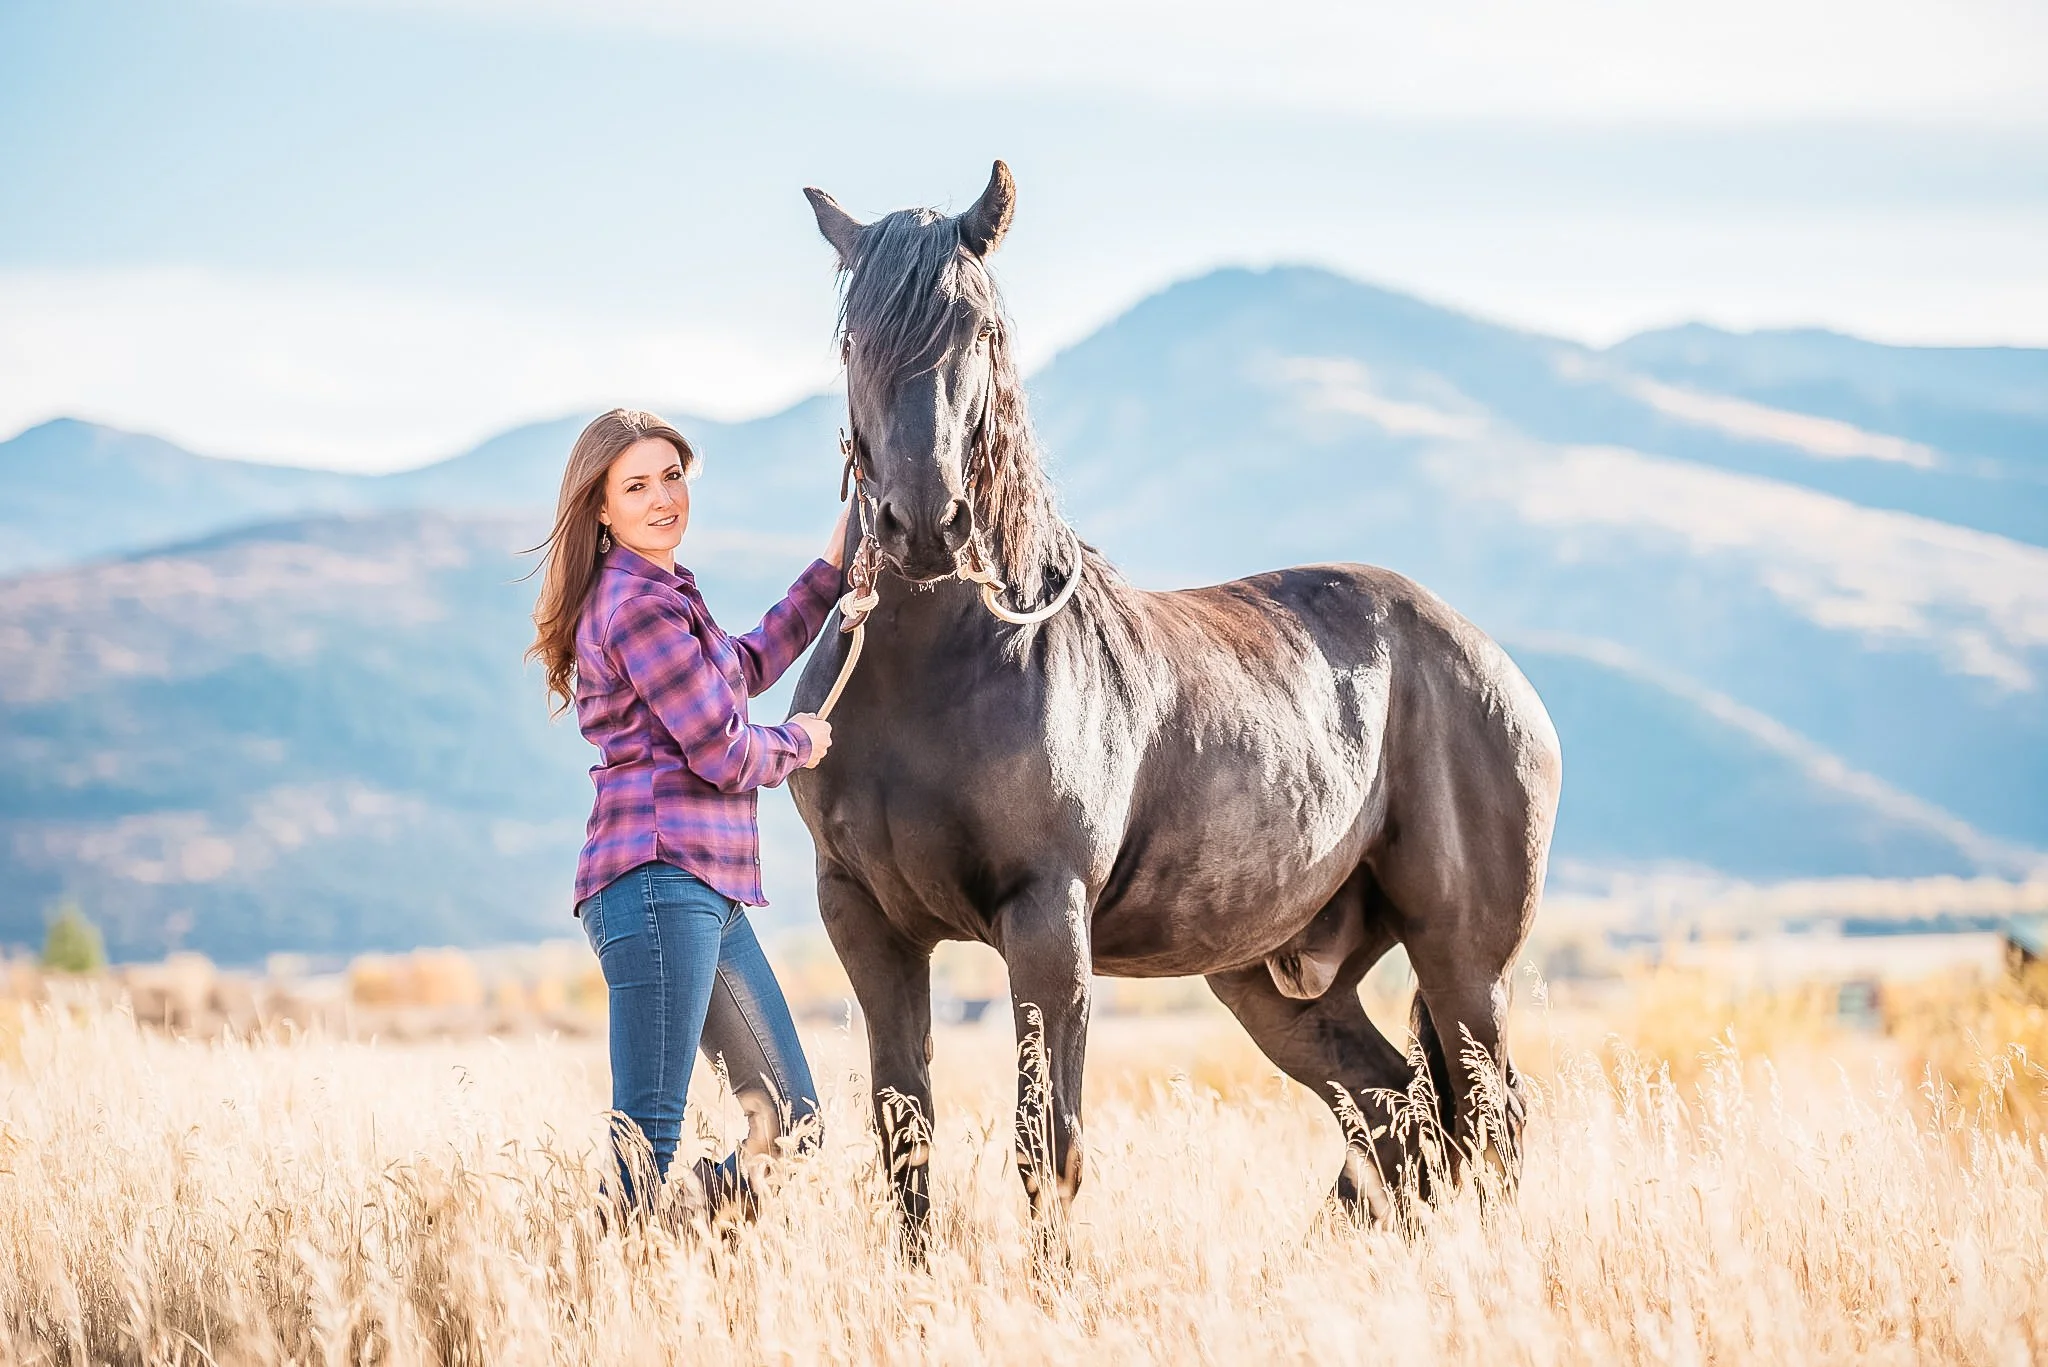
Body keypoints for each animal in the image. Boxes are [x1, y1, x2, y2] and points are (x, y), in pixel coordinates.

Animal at [787, 161, 1562, 1249]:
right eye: (855, 336)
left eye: (980, 330)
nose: (926, 522)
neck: (934, 669)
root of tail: (1494, 665)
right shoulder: (866, 921)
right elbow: (907, 1136)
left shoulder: (1047, 922)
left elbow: (1046, 1145)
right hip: (1276, 977)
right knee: (1396, 1114)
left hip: (1464, 955)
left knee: (1488, 1112)